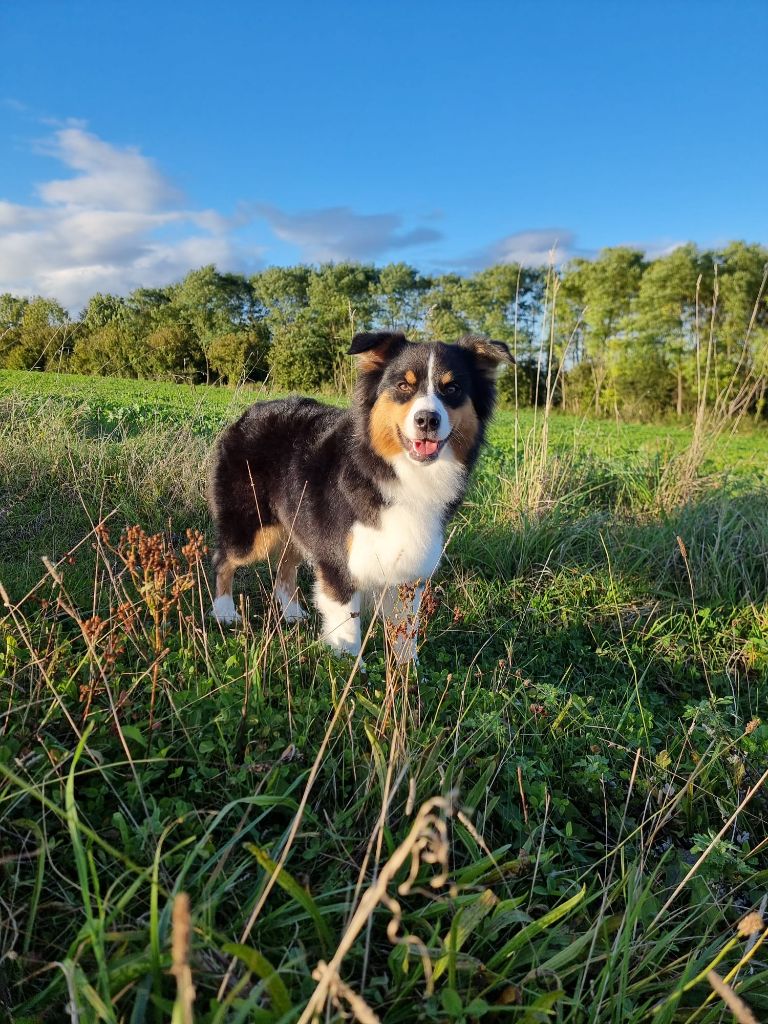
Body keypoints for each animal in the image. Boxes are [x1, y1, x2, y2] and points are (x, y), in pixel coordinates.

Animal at [207, 331, 514, 659]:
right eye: (403, 386)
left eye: (452, 388)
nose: (427, 420)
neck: (394, 471)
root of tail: (249, 412)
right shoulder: (339, 564)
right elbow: (348, 632)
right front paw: (351, 667)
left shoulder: (408, 575)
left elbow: (406, 636)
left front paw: (408, 670)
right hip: (251, 530)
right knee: (224, 559)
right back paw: (224, 612)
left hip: (296, 523)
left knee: (285, 567)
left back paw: (291, 613)